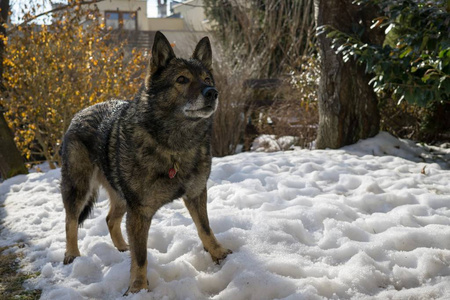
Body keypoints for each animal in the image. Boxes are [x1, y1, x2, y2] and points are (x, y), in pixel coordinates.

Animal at [60, 31, 232, 294]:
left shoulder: (195, 194)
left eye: (206, 78)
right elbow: (141, 256)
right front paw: (138, 288)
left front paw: (220, 255)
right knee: (70, 220)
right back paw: (72, 254)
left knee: (110, 219)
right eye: (182, 79)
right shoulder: (140, 212)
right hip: (79, 187)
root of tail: (80, 113)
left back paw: (123, 248)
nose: (212, 92)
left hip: (121, 197)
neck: (173, 147)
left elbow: (205, 228)